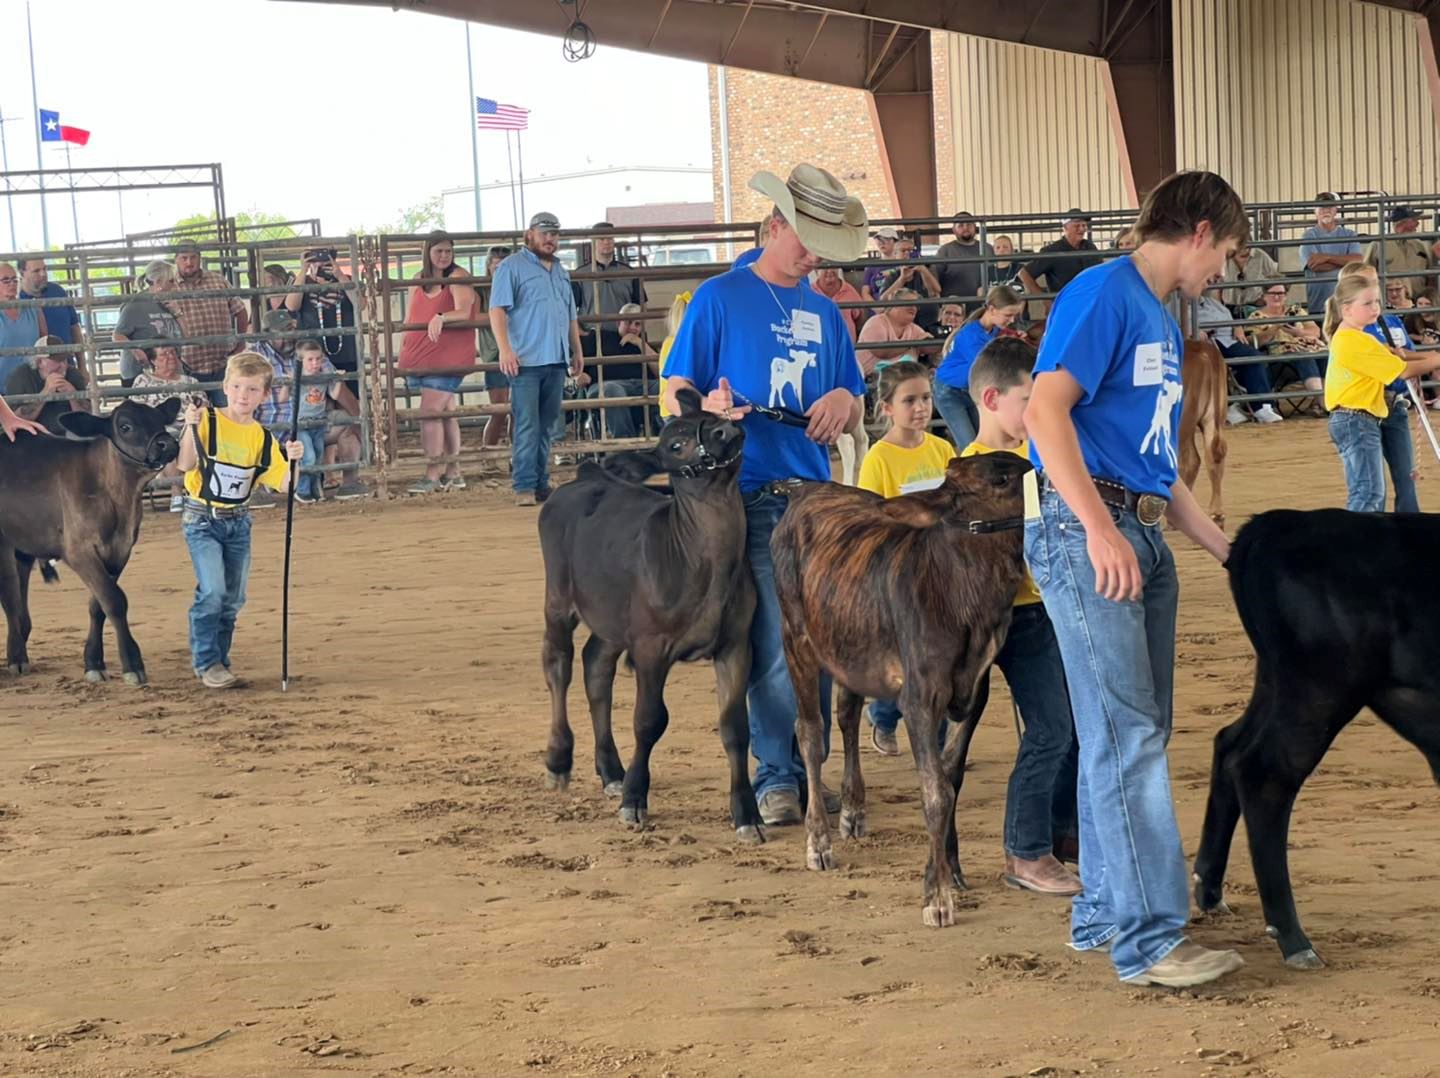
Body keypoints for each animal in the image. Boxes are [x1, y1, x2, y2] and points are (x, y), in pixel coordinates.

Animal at [0, 398, 182, 685]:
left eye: (160, 420)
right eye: (125, 426)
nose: (168, 443)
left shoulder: (119, 551)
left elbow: (99, 605)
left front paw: (93, 662)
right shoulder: (79, 551)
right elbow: (115, 600)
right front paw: (132, 664)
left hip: (25, 541)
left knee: (19, 589)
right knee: (8, 593)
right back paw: (16, 657)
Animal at [537, 389, 762, 841]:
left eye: (710, 413)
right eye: (674, 444)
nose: (725, 429)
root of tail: (586, 474)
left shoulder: (736, 643)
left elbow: (735, 727)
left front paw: (746, 814)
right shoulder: (650, 647)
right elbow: (648, 721)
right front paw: (634, 799)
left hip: (611, 618)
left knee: (595, 666)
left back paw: (610, 770)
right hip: (558, 599)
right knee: (558, 665)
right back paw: (559, 760)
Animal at [770, 453, 1031, 927]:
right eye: (1001, 478)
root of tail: (807, 490)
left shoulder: (976, 689)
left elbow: (950, 776)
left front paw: (951, 868)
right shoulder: (920, 699)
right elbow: (936, 792)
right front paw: (936, 896)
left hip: (850, 646)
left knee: (846, 714)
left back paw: (853, 812)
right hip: (796, 638)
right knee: (810, 732)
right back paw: (818, 841)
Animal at [1192, 508, 1440, 969]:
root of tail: (1282, 521)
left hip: (1276, 683)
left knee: (1229, 745)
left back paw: (1210, 889)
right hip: (1319, 693)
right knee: (1264, 775)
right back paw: (1294, 939)